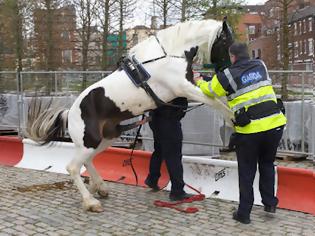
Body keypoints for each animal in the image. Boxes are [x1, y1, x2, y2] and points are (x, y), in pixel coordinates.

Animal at [26, 19, 235, 213]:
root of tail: (71, 113)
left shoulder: (188, 88)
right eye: (227, 42)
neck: (169, 54)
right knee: (73, 168)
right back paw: (91, 202)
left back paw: (99, 187)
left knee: (88, 161)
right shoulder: (183, 88)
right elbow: (215, 100)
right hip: (90, 142)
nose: (228, 69)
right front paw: (233, 120)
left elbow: (216, 97)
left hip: (104, 140)